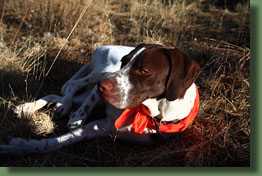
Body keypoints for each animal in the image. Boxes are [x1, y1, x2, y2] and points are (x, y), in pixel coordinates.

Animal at [0, 43, 201, 154]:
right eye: (124, 61)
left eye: (144, 70)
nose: (101, 86)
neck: (148, 114)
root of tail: (102, 46)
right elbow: (54, 140)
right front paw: (18, 146)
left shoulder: (102, 128)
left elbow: (57, 141)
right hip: (104, 69)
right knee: (71, 88)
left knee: (62, 95)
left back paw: (48, 106)